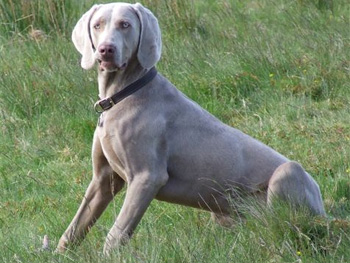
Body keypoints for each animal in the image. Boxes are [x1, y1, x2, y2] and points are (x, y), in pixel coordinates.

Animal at [55, 2, 326, 256]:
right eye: (97, 25)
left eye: (125, 25)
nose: (106, 49)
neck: (124, 94)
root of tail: (324, 207)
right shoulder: (103, 179)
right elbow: (76, 225)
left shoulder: (147, 177)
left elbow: (117, 232)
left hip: (288, 173)